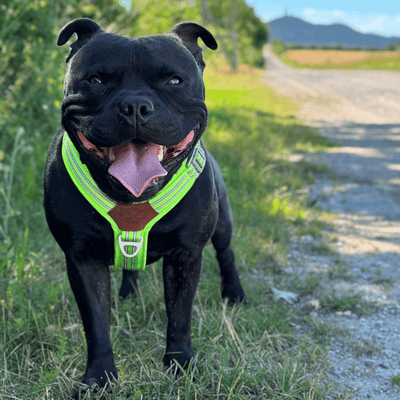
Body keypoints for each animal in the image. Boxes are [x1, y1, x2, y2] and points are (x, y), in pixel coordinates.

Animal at [43, 18, 244, 396]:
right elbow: (96, 325)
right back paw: (128, 294)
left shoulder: (186, 255)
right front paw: (99, 378)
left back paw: (234, 293)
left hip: (223, 223)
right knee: (130, 268)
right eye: (95, 80)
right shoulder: (82, 260)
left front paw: (181, 364)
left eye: (174, 81)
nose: (135, 106)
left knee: (226, 252)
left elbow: (179, 316)